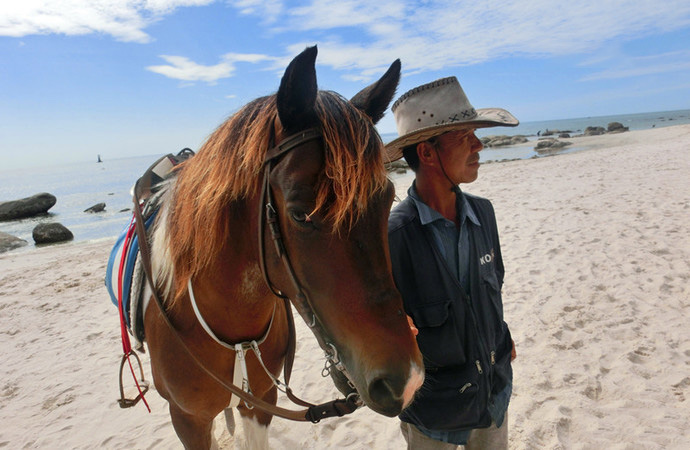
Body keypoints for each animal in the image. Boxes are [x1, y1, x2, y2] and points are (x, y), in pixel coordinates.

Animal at [140, 45, 422, 446]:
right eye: (301, 213)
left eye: (388, 199)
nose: (407, 380)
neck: (231, 328)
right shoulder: (187, 421)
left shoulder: (260, 403)